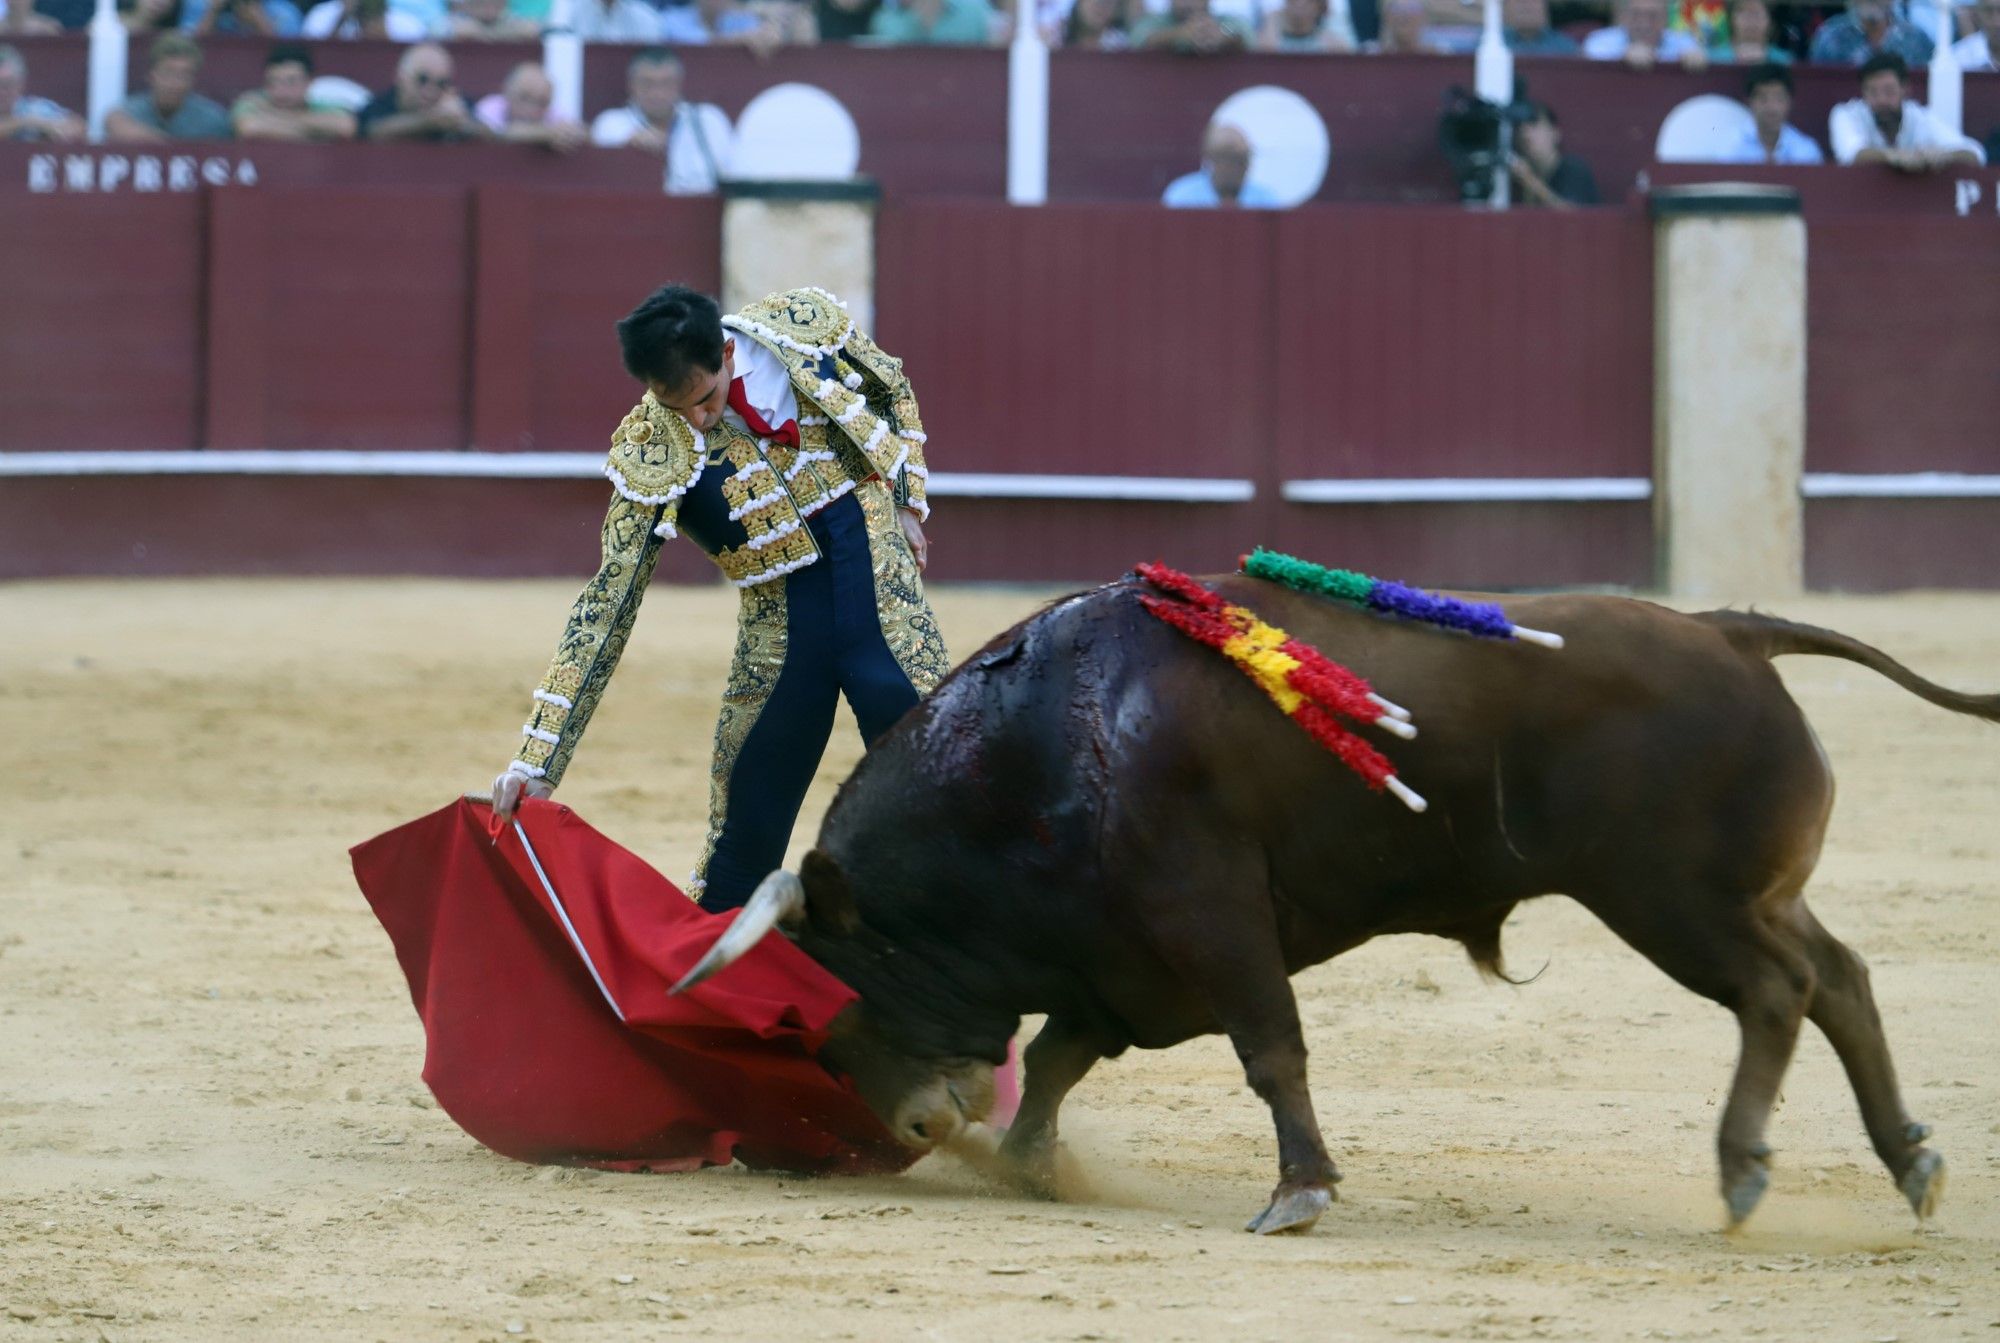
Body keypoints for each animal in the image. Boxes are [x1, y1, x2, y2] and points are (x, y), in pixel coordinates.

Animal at [680, 575, 1992, 1239]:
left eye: (854, 976)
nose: (912, 1121)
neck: (1044, 745)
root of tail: (1726, 628)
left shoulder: (1205, 917)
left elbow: (1269, 1047)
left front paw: (1297, 1190)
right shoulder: (1118, 958)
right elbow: (1056, 1059)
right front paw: (1027, 1166)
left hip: (1672, 899)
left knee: (1778, 989)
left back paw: (1740, 1170)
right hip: (1741, 892)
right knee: (1840, 975)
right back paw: (1910, 1159)